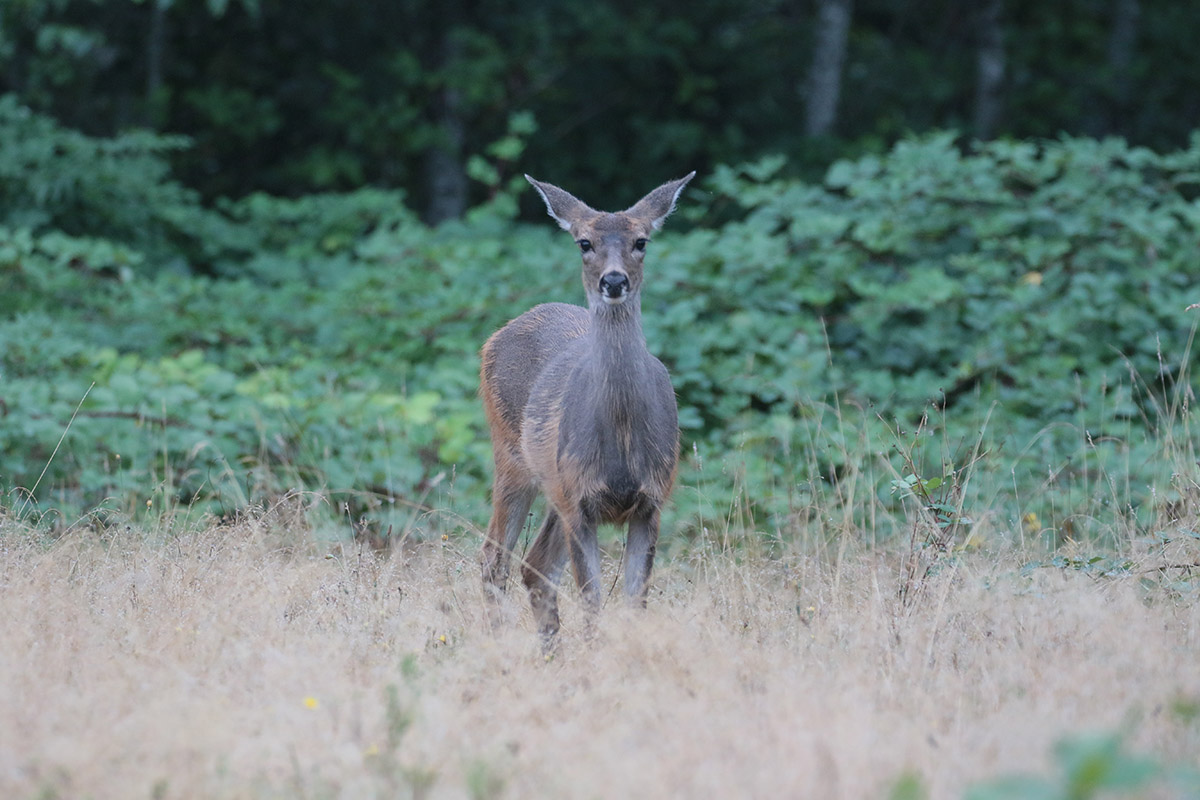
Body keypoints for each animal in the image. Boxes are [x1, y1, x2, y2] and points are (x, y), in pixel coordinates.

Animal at [472, 172, 691, 642]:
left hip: (552, 485)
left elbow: (634, 602)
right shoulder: (579, 505)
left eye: (642, 241)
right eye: (584, 242)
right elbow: (593, 602)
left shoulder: (651, 501)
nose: (614, 281)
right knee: (494, 557)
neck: (622, 439)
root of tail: (498, 333)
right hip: (512, 457)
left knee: (534, 565)